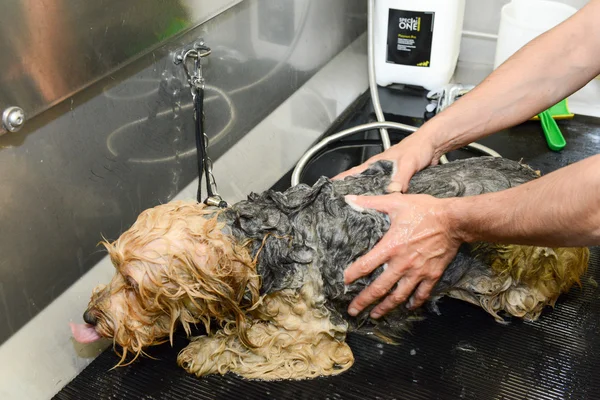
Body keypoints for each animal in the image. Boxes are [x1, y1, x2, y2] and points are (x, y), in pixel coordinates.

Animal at [71, 158, 592, 380]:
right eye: (113, 266)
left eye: (134, 284)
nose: (88, 318)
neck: (266, 241)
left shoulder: (310, 338)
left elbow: (253, 343)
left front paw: (204, 349)